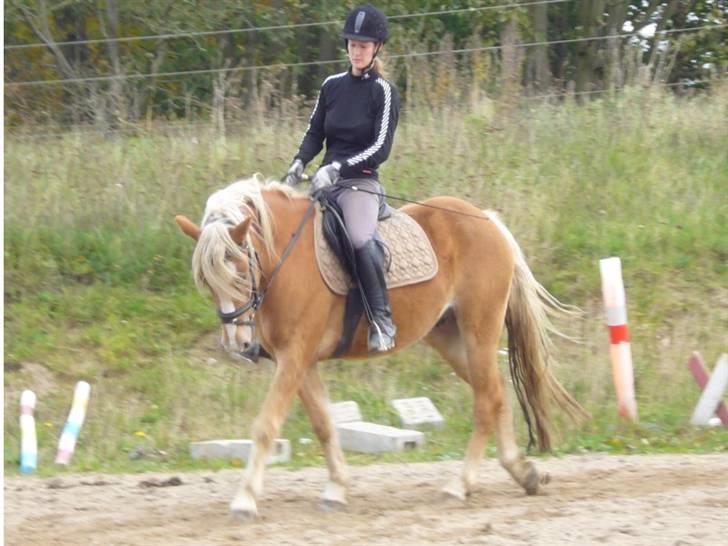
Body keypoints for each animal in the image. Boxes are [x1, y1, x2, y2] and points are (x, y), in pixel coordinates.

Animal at [175, 174, 584, 520]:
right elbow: (324, 424)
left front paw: (244, 500)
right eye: (206, 281)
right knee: (496, 393)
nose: (237, 343)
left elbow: (265, 426)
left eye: (241, 268)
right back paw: (522, 472)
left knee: (486, 402)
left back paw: (459, 485)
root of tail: (486, 219)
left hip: (478, 329)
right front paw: (336, 489)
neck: (286, 258)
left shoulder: (295, 356)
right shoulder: (300, 361)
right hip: (450, 337)